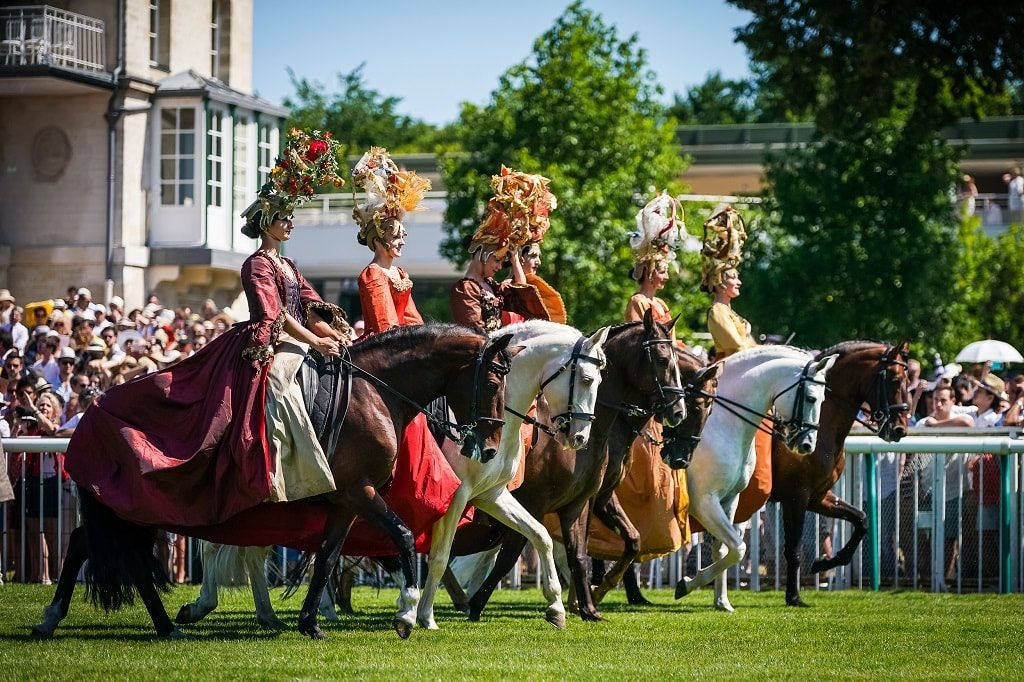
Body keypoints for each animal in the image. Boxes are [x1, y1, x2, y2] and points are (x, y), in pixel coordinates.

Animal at [33, 323, 516, 638]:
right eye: (493, 383)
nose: (491, 448)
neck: (373, 394)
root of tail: (93, 407)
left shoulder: (345, 500)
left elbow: (327, 556)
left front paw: (310, 624)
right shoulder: (360, 491)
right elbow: (399, 535)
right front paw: (406, 614)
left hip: (131, 508)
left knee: (95, 546)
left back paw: (150, 623)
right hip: (136, 503)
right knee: (97, 547)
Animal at [413, 319, 610, 626]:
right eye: (587, 380)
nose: (580, 438)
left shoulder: (491, 495)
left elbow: (540, 535)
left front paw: (556, 607)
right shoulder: (456, 497)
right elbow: (441, 556)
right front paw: (425, 615)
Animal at [456, 313, 720, 622]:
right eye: (662, 359)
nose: (677, 413)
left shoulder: (591, 498)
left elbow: (614, 544)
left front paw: (590, 600)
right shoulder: (538, 501)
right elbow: (516, 553)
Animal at [675, 346, 835, 610]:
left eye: (823, 400)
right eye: (811, 398)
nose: (807, 445)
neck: (722, 425)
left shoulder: (729, 500)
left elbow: (725, 550)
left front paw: (721, 601)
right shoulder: (704, 502)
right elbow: (739, 548)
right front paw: (687, 584)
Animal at [770, 339, 913, 606]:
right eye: (895, 379)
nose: (900, 429)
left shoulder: (816, 497)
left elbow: (861, 520)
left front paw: (825, 562)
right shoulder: (796, 496)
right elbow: (794, 549)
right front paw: (794, 596)